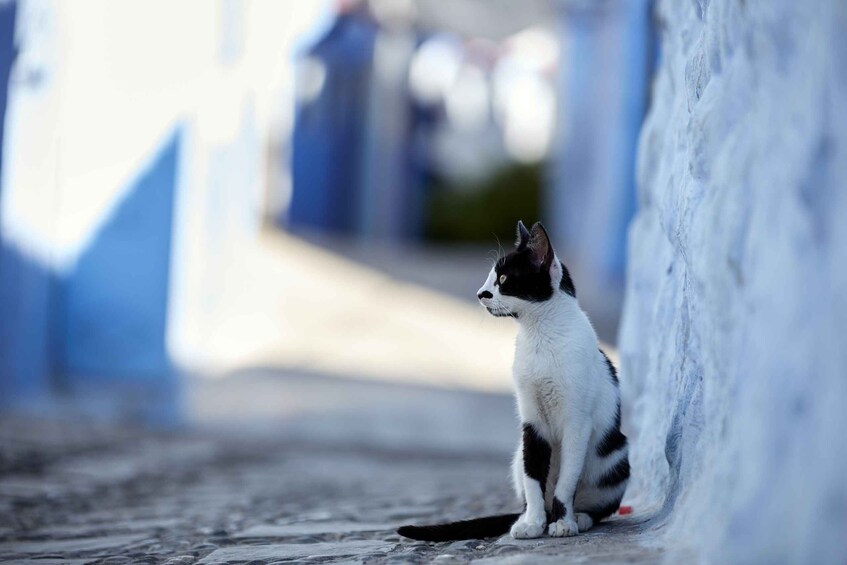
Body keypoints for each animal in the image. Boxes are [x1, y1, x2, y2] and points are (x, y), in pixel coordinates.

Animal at [398, 219, 628, 536]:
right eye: (489, 277)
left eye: (504, 278)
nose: (480, 293)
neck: (540, 336)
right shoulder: (531, 423)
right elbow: (533, 477)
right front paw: (532, 522)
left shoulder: (577, 422)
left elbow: (567, 481)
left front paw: (563, 522)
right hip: (516, 455)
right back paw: (531, 517)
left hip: (616, 455)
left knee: (598, 506)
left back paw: (578, 517)